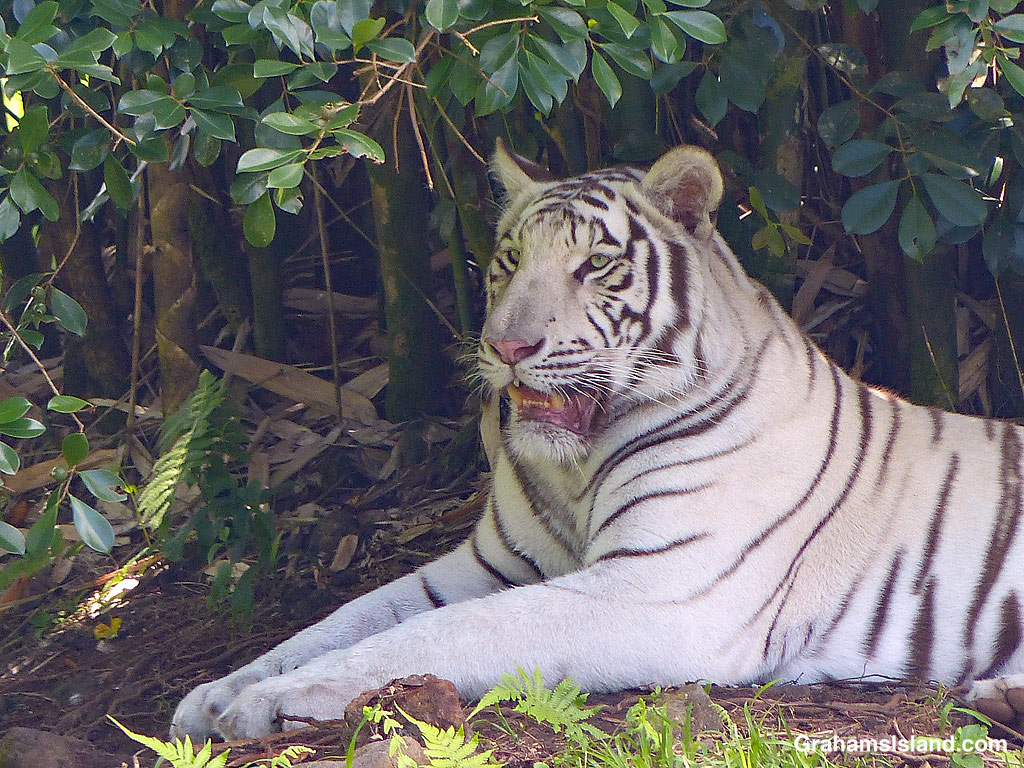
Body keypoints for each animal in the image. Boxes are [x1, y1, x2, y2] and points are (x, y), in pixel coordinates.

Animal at [172, 142, 1024, 741]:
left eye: (594, 266)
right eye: (509, 261)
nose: (506, 346)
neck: (572, 473)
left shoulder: (665, 587)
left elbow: (448, 631)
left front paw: (271, 701)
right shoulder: (489, 564)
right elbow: (348, 619)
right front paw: (216, 694)